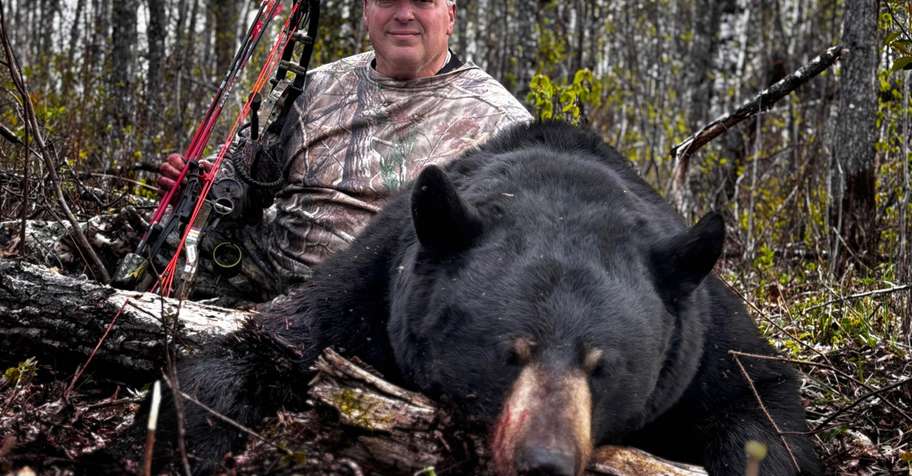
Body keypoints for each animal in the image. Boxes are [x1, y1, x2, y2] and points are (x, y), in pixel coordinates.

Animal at [150, 121, 820, 475]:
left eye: (602, 367)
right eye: (509, 352)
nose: (544, 462)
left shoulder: (703, 337)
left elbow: (761, 411)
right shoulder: (372, 290)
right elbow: (263, 353)